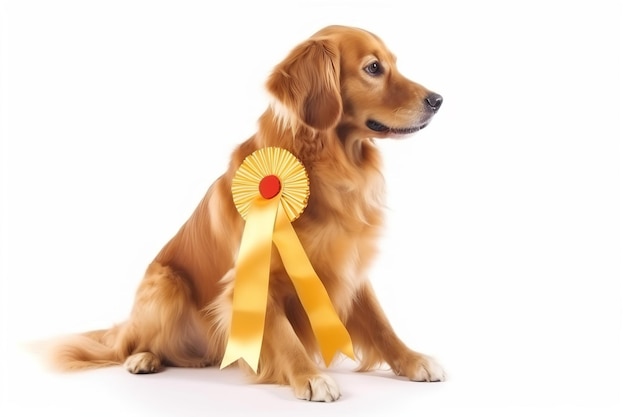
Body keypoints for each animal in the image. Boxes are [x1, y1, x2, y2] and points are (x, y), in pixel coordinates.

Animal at [51, 25, 446, 400]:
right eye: (374, 68)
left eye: (394, 64)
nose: (438, 99)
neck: (322, 166)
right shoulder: (253, 281)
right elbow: (285, 337)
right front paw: (311, 377)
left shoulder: (348, 261)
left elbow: (381, 322)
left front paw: (412, 360)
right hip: (166, 284)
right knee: (130, 344)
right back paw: (142, 357)